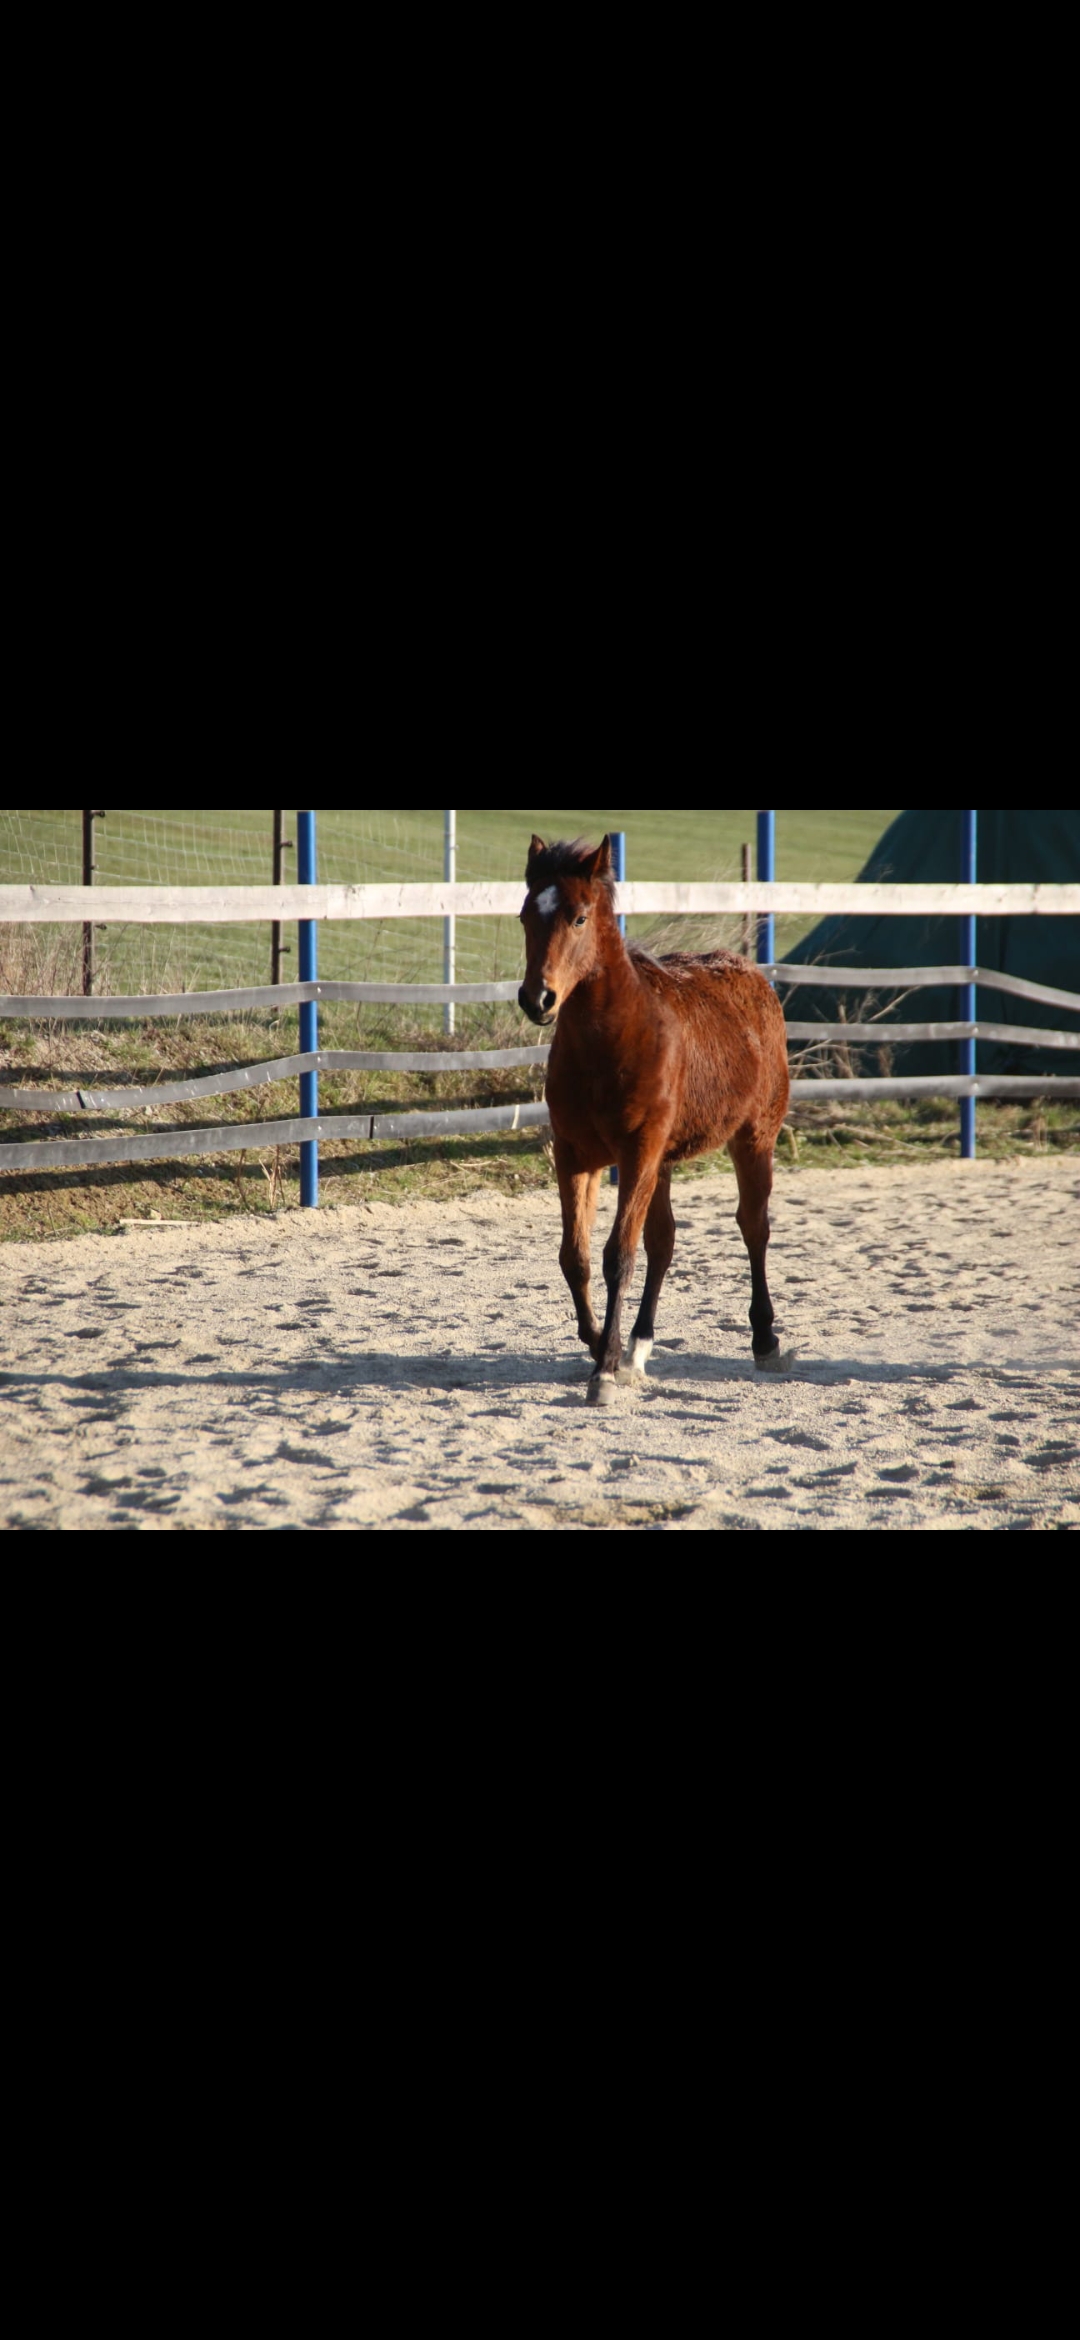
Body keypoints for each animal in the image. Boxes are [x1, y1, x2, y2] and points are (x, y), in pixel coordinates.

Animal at [518, 833, 792, 1405]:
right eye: (526, 916)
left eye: (579, 917)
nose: (538, 998)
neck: (614, 1038)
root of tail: (753, 976)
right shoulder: (577, 1156)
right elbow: (575, 1257)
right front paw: (602, 1345)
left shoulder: (637, 1153)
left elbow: (617, 1256)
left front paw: (603, 1370)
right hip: (663, 1162)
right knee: (663, 1242)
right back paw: (638, 1347)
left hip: (754, 1139)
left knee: (753, 1227)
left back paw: (765, 1340)